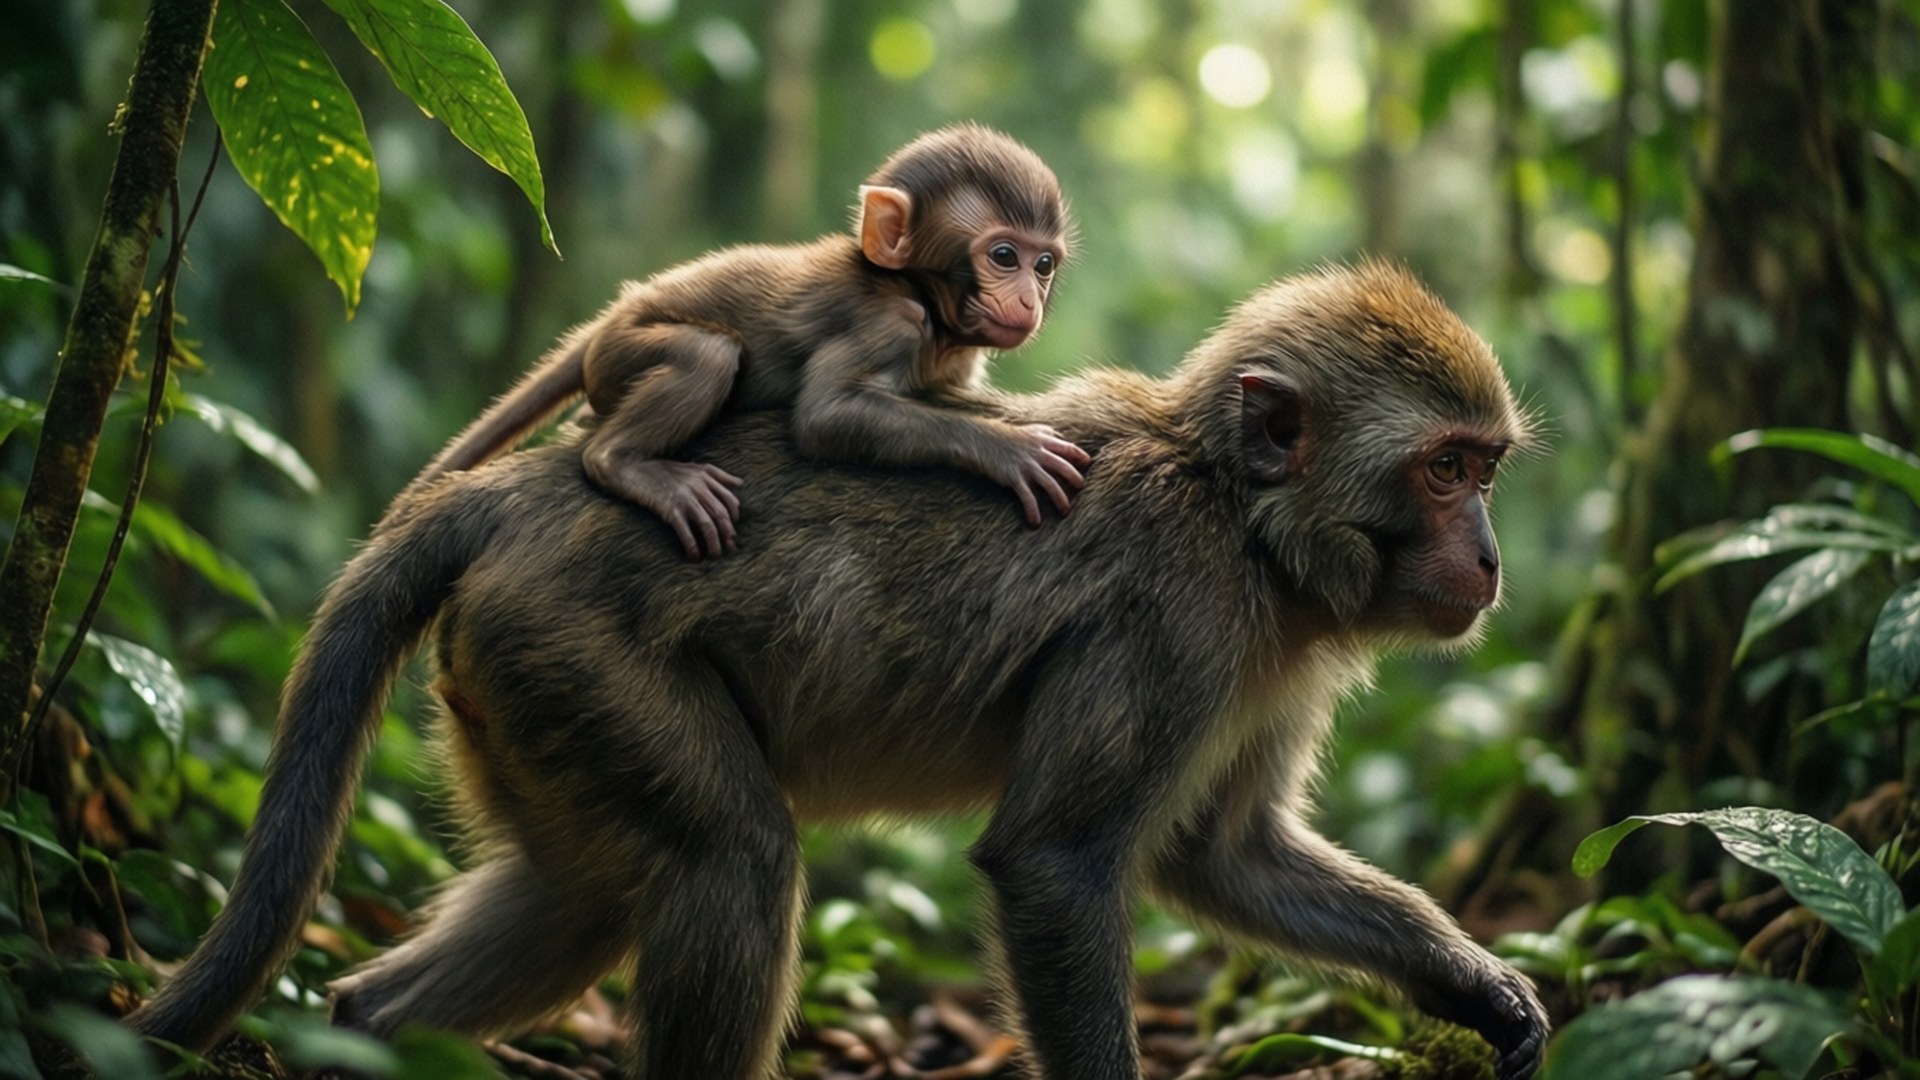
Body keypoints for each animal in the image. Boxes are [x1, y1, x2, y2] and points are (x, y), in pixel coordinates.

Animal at [126, 263, 1550, 1079]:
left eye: (1486, 470)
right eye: (1444, 472)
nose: (1490, 557)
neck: (1242, 522)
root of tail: (517, 494)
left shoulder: (1265, 658)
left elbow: (1226, 857)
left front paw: (1472, 986)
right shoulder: (1179, 616)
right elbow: (1057, 864)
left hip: (517, 689)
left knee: (581, 897)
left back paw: (362, 1025)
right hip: (569, 645)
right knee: (731, 862)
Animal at [408, 123, 1087, 559]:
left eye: (1043, 265)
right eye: (1004, 256)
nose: (1028, 299)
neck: (916, 291)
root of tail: (614, 314)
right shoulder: (886, 321)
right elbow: (824, 416)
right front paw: (1007, 448)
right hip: (626, 350)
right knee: (707, 356)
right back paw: (622, 461)